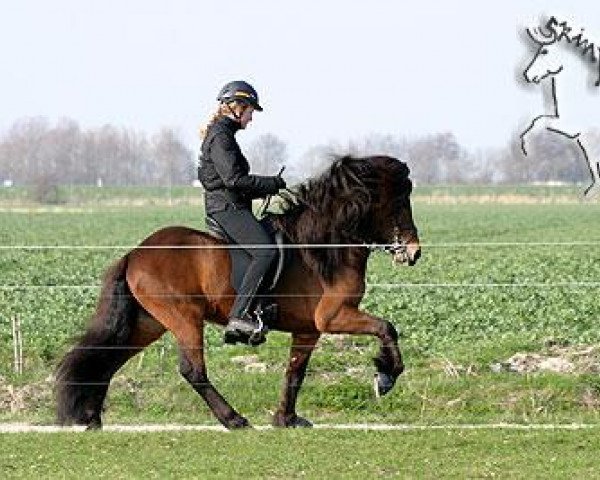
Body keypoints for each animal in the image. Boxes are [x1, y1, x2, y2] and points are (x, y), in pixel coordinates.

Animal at [57, 156, 422, 430]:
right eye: (399, 201)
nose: (414, 252)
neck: (323, 247)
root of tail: (134, 254)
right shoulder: (333, 317)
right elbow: (386, 327)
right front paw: (385, 376)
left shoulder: (308, 329)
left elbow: (295, 372)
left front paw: (286, 418)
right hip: (184, 318)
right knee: (192, 371)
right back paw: (234, 420)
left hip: (148, 323)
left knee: (108, 358)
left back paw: (91, 417)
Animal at [520, 16, 600, 197]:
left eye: (544, 51)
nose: (528, 75)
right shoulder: (580, 134)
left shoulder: (580, 131)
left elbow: (539, 121)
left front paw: (526, 149)